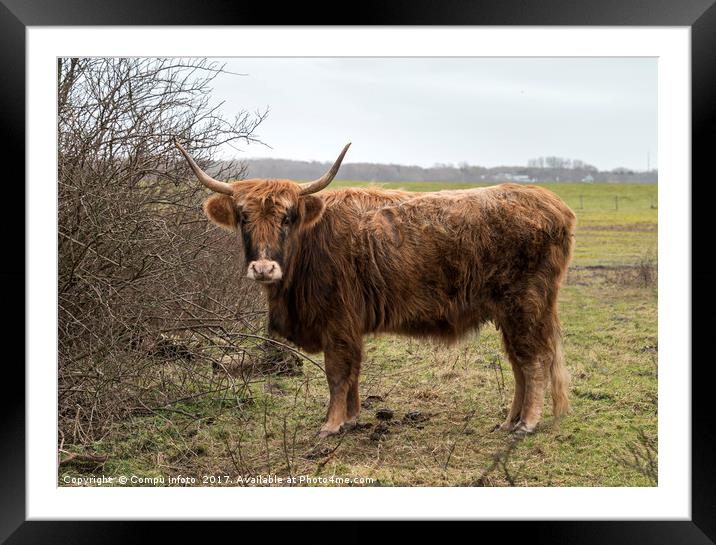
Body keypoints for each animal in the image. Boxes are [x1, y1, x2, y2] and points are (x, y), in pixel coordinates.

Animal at [175, 141, 576, 438]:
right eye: (243, 217)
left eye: (287, 218)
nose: (263, 268)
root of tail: (553, 204)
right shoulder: (348, 324)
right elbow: (351, 373)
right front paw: (351, 419)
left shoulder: (337, 320)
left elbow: (337, 372)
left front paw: (331, 425)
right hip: (511, 312)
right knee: (519, 363)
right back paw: (509, 421)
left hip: (526, 305)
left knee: (533, 361)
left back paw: (527, 423)